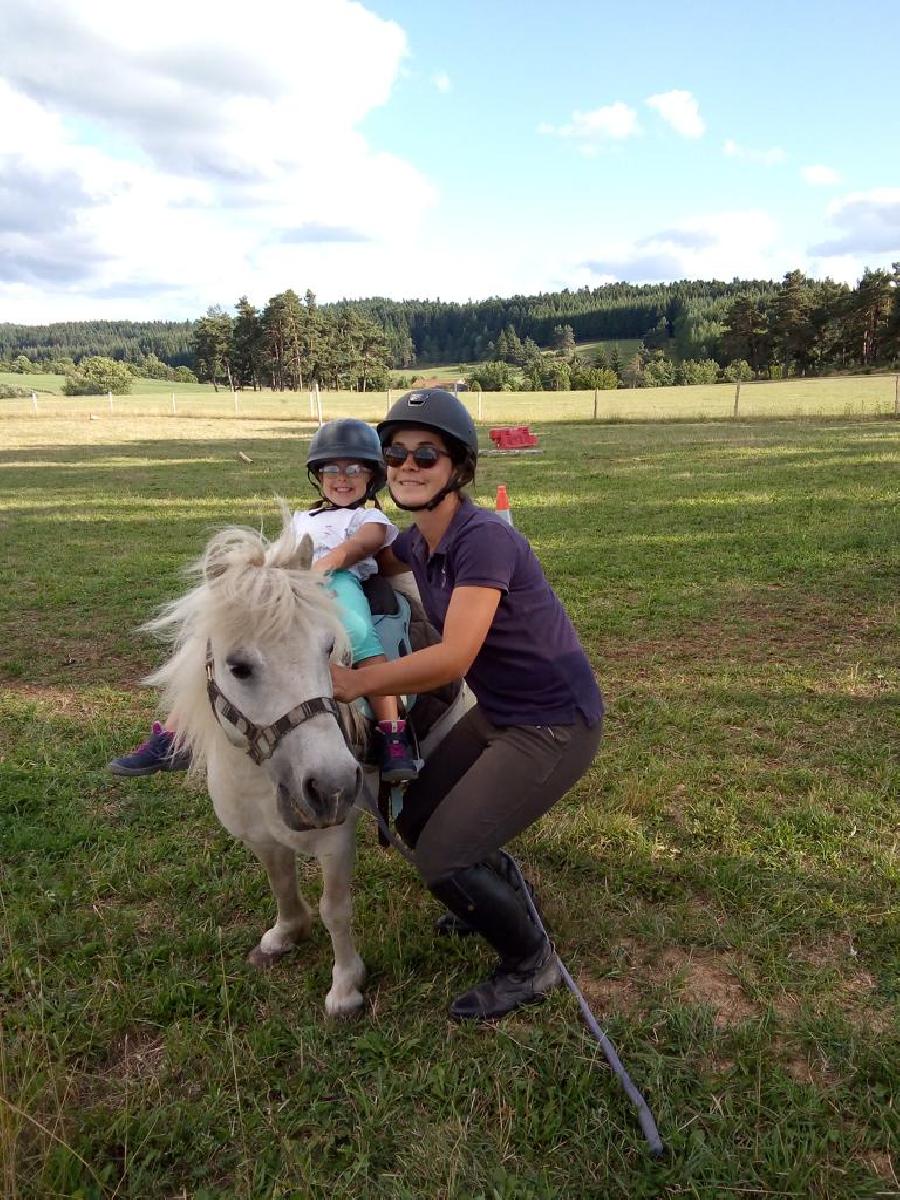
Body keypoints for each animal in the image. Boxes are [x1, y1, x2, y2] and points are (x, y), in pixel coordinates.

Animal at [144, 511, 468, 1017]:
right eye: (238, 667)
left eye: (329, 649)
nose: (332, 785)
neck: (259, 781)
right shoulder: (260, 837)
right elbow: (281, 884)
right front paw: (284, 935)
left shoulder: (335, 839)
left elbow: (335, 909)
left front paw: (345, 987)